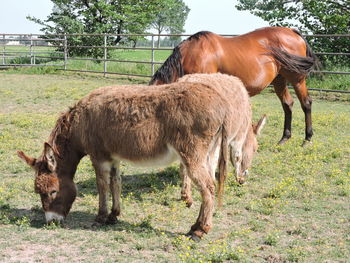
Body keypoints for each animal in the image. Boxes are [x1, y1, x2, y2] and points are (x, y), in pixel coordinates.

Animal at [149, 26, 318, 146]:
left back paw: (307, 139)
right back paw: (284, 138)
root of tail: (293, 32)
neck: (190, 55)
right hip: (279, 80)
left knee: (306, 103)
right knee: (287, 104)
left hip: (297, 79)